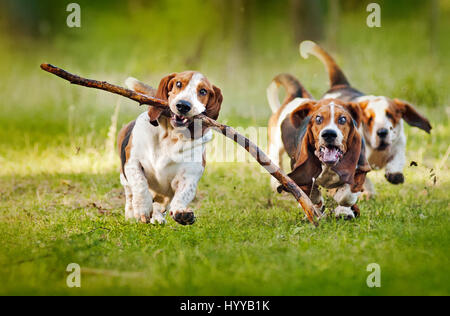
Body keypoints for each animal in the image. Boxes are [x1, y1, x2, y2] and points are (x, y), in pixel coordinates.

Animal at [116, 71, 221, 225]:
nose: (183, 105)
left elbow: (184, 193)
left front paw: (182, 212)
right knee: (130, 193)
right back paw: (131, 213)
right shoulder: (132, 162)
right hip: (124, 177)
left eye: (203, 91)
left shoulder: (190, 174)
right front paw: (142, 209)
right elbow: (140, 184)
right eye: (178, 83)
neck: (171, 135)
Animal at [268, 74, 370, 218]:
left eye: (343, 119)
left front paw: (343, 209)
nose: (329, 134)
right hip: (275, 148)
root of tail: (294, 98)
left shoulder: (360, 169)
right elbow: (312, 193)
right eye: (318, 119)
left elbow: (347, 195)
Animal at [300, 40, 430, 196]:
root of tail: (340, 86)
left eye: (390, 115)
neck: (376, 149)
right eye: (369, 119)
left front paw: (394, 174)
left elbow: (397, 158)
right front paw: (368, 192)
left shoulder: (398, 143)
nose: (382, 132)